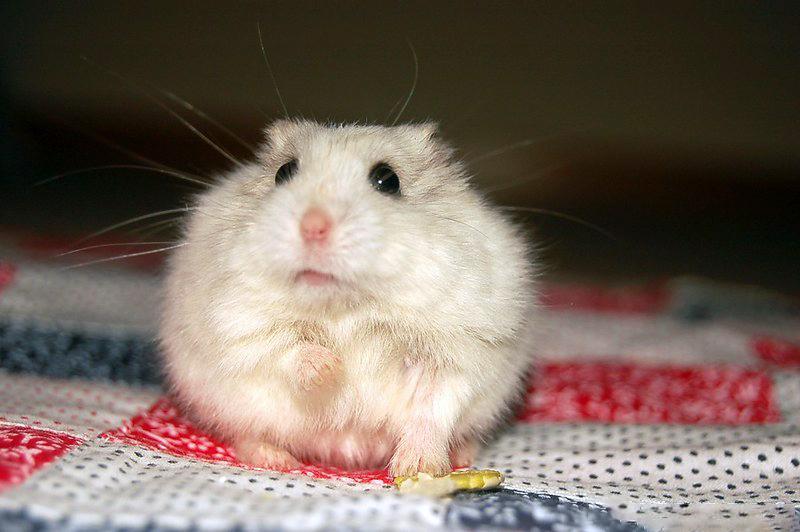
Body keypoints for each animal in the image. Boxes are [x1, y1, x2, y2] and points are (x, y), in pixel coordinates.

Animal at [159, 119, 538, 477]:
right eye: (284, 172)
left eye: (388, 180)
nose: (313, 226)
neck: (346, 305)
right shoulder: (240, 323)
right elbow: (287, 349)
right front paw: (331, 369)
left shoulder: (457, 352)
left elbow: (431, 411)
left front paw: (418, 468)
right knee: (249, 434)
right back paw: (278, 460)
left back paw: (461, 455)